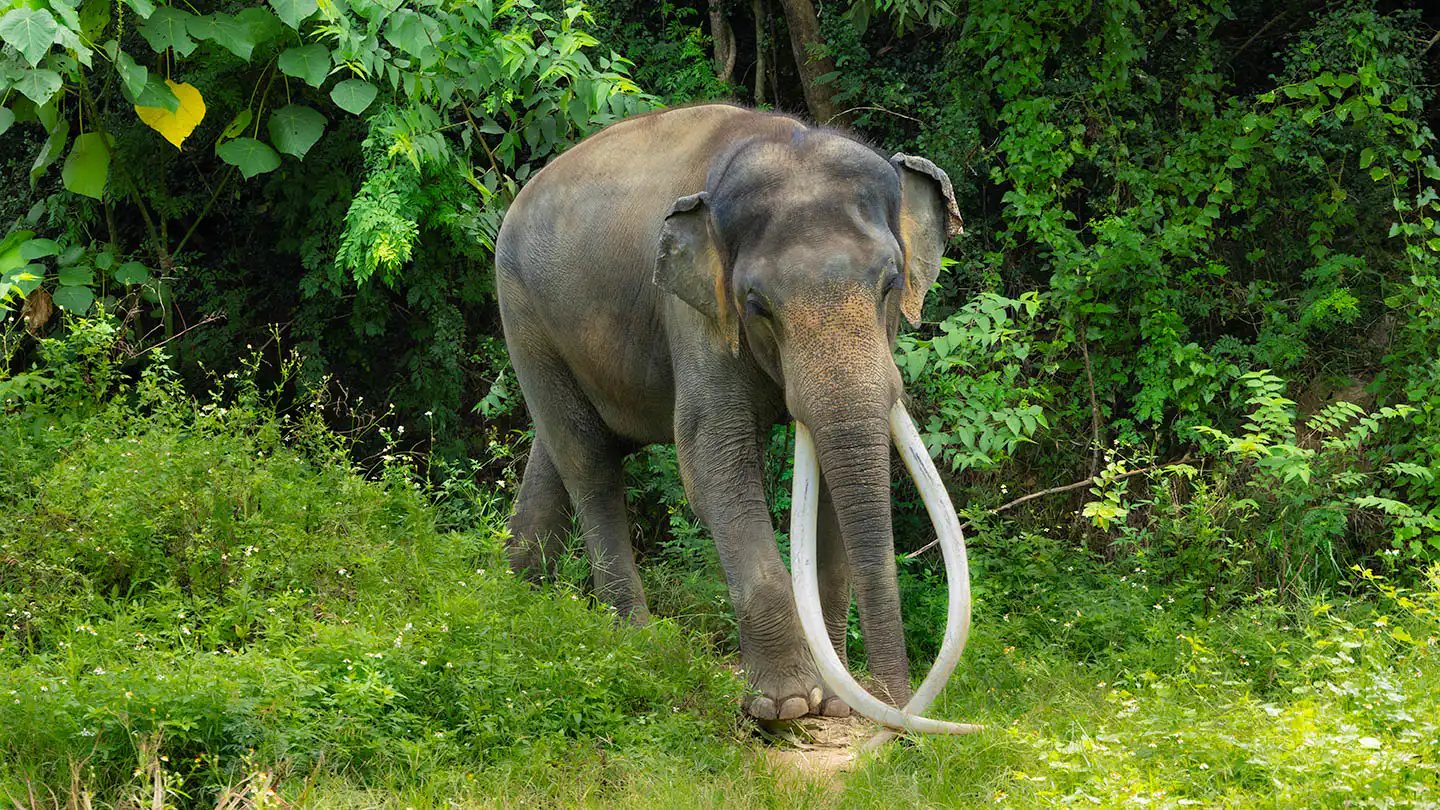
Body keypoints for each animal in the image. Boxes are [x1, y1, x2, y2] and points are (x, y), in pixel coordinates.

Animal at [494, 103, 975, 736]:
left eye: (890, 284)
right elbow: (713, 463)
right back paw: (636, 645)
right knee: (589, 462)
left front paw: (834, 704)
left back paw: (517, 595)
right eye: (757, 305)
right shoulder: (692, 312)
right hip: (523, 311)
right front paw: (787, 707)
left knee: (555, 449)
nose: (895, 725)